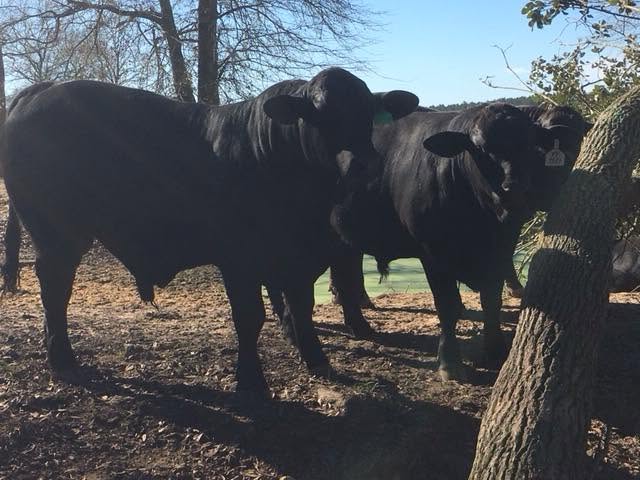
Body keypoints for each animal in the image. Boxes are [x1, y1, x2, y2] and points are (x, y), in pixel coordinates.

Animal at [0, 68, 418, 394]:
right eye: (318, 116)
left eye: (368, 115)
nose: (362, 164)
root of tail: (41, 89)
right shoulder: (239, 259)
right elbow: (249, 317)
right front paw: (250, 381)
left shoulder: (296, 259)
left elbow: (301, 307)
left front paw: (316, 360)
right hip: (58, 233)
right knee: (55, 288)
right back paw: (63, 359)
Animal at [273, 102, 572, 381]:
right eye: (479, 148)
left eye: (531, 144)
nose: (515, 189)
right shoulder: (433, 253)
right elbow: (448, 307)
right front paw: (450, 363)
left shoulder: (500, 250)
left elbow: (491, 300)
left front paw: (496, 351)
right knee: (296, 292)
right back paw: (308, 349)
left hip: (342, 243)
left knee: (341, 282)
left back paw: (357, 327)